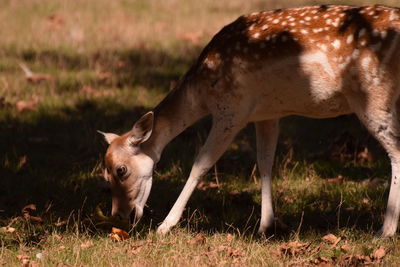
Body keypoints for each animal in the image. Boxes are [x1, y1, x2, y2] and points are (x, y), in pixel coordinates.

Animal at [99, 4, 400, 238]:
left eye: (121, 170)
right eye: (104, 173)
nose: (121, 216)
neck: (202, 93)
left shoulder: (231, 111)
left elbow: (200, 165)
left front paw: (165, 226)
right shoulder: (267, 114)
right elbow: (265, 162)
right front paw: (265, 226)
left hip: (373, 94)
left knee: (396, 151)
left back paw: (385, 231)